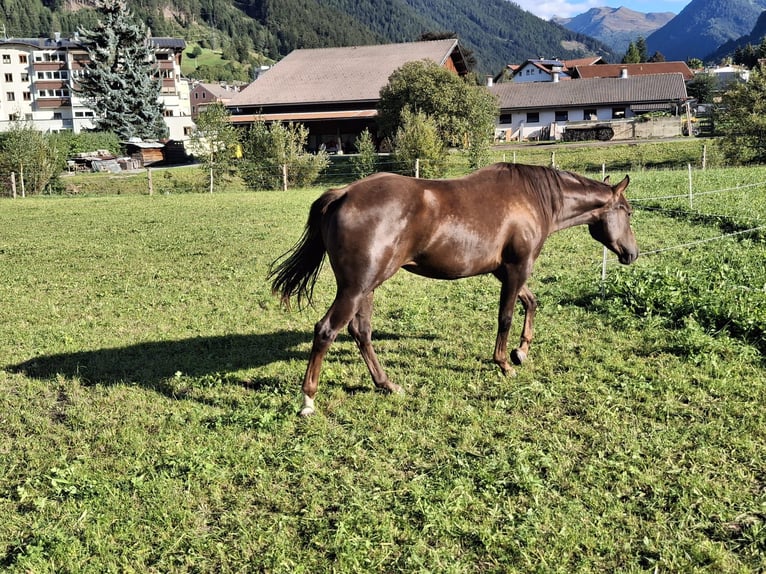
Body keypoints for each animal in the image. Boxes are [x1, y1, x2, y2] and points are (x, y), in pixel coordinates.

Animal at [269, 163, 638, 416]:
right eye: (628, 211)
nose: (631, 253)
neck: (532, 198)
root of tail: (343, 194)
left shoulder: (504, 272)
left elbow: (531, 302)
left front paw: (521, 351)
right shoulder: (517, 268)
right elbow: (505, 317)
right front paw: (504, 362)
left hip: (366, 288)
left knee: (361, 333)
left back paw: (386, 384)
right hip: (355, 287)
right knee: (326, 331)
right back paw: (308, 400)